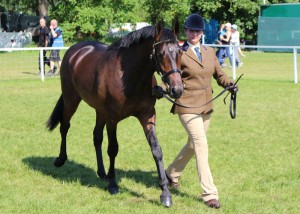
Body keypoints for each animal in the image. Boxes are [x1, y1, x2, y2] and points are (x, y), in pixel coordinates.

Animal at [45, 23, 184, 207]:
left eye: (180, 52)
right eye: (160, 54)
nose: (177, 89)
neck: (130, 77)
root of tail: (75, 50)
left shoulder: (147, 116)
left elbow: (156, 150)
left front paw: (165, 193)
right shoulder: (112, 119)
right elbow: (113, 149)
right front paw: (113, 184)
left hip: (99, 111)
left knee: (96, 137)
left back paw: (102, 172)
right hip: (71, 100)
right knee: (65, 126)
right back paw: (61, 159)